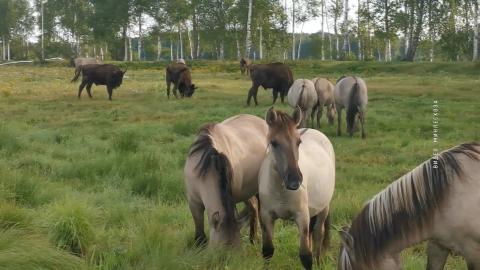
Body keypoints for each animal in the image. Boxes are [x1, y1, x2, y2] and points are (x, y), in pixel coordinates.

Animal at [258, 107, 334, 270]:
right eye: (274, 142)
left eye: (298, 142)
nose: (295, 180)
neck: (281, 190)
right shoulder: (267, 216)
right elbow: (267, 250)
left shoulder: (302, 216)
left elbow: (306, 256)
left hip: (324, 207)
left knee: (318, 233)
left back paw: (319, 261)